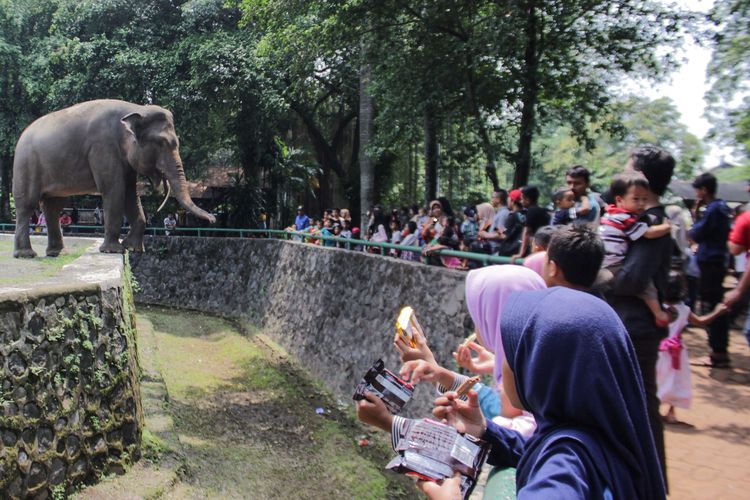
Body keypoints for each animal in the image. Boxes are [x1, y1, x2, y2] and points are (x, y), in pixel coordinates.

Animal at [12, 100, 217, 260]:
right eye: (162, 143)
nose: (213, 220)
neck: (135, 108)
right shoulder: (103, 147)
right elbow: (114, 189)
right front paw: (113, 250)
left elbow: (130, 194)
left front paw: (132, 248)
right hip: (25, 165)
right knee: (27, 205)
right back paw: (26, 254)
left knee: (53, 207)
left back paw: (57, 253)